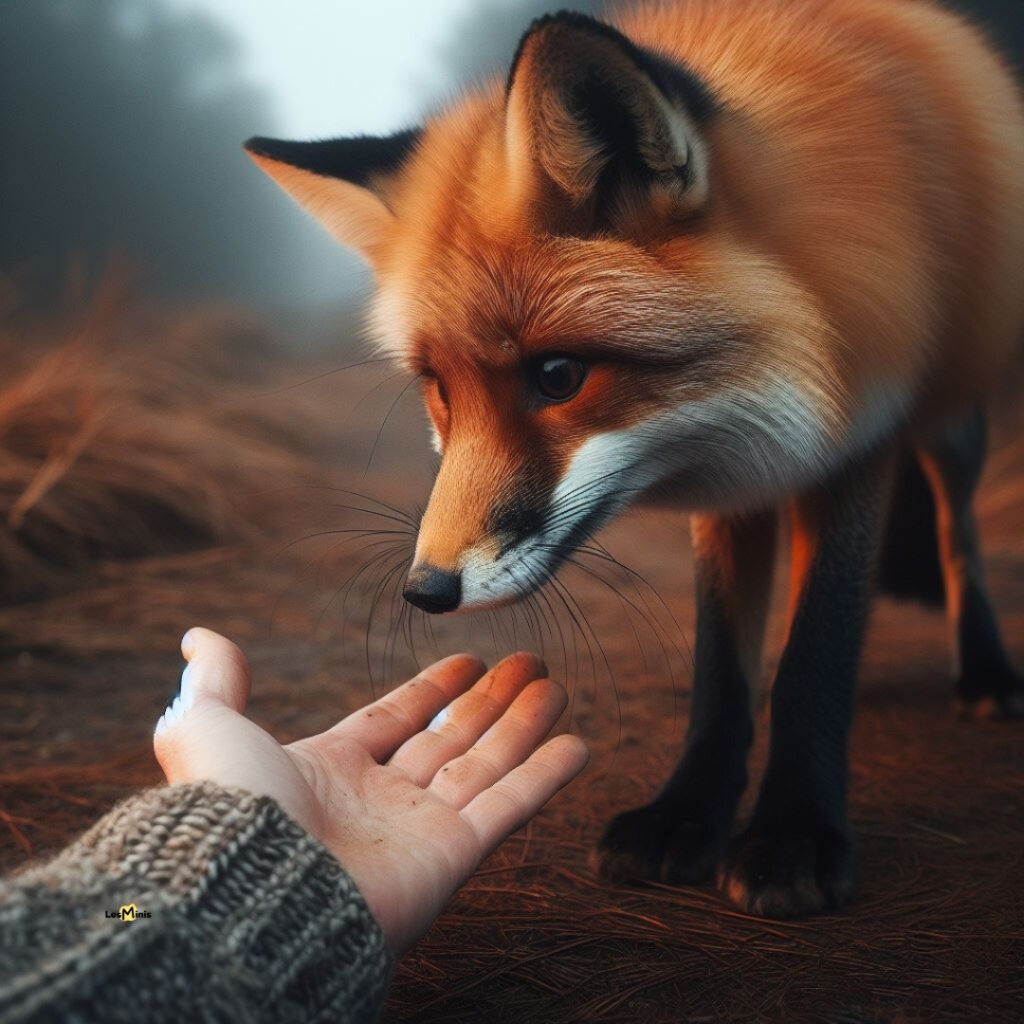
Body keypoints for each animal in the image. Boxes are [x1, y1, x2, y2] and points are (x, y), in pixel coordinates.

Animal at [244, 0, 1024, 919]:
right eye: (438, 388)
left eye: (559, 376)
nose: (426, 590)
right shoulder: (735, 466)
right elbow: (722, 671)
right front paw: (686, 815)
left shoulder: (859, 435)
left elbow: (817, 649)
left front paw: (794, 833)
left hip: (951, 423)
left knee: (957, 536)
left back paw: (985, 671)